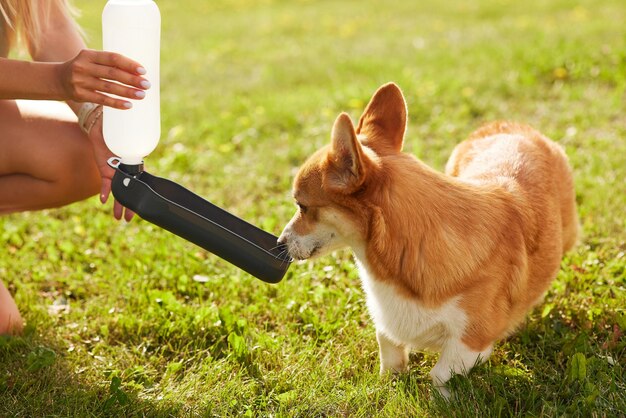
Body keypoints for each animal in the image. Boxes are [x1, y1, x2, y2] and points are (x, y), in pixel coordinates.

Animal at [278, 82, 576, 396]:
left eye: (302, 205)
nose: (279, 243)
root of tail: (510, 126)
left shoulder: (470, 341)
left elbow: (440, 374)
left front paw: (444, 399)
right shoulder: (388, 324)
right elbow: (389, 352)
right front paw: (389, 386)